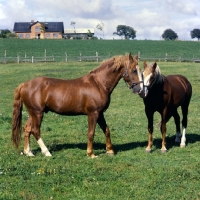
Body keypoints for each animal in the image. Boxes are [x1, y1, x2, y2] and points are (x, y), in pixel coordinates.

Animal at [12, 53, 141, 158]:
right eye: (134, 70)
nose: (139, 89)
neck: (99, 84)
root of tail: (24, 84)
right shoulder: (93, 113)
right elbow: (91, 132)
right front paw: (91, 153)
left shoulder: (100, 114)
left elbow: (107, 130)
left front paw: (110, 150)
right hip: (38, 113)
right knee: (35, 130)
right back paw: (46, 152)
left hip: (32, 113)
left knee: (27, 129)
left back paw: (29, 152)